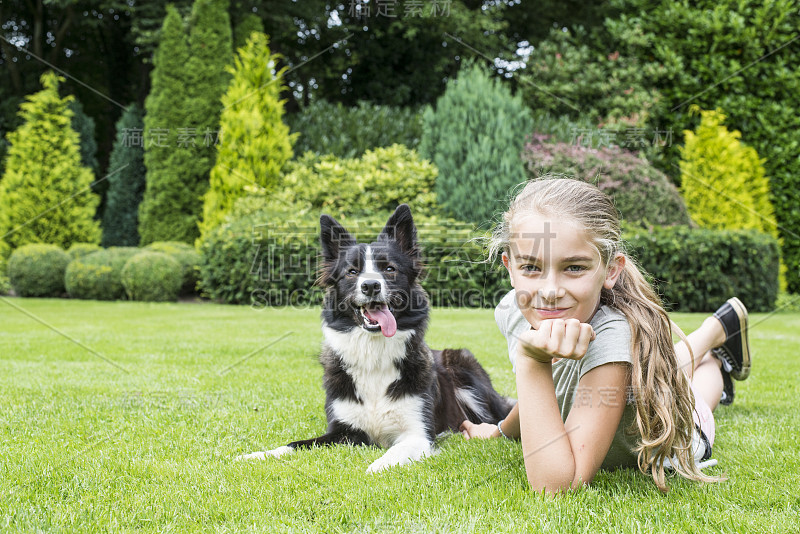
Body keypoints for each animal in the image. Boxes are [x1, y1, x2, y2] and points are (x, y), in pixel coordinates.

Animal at [238, 205, 512, 474]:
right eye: (351, 272)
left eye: (389, 269)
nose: (370, 286)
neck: (374, 355)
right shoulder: (342, 430)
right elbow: (295, 444)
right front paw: (259, 455)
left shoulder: (418, 433)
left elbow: (396, 450)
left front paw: (378, 465)